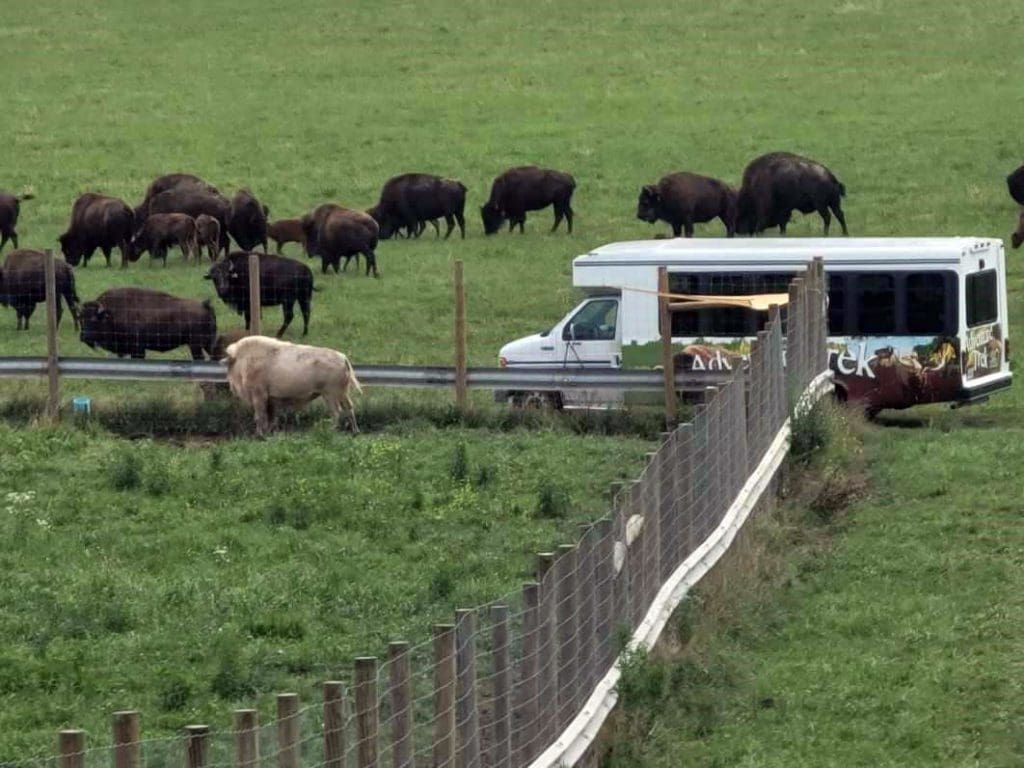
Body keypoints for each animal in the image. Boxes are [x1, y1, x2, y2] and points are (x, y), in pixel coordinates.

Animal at [78, 286, 217, 362]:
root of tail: (204, 306)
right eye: (80, 318)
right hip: (207, 343)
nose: (84, 337)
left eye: (94, 319)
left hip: (196, 345)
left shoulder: (137, 348)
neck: (110, 313)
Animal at [224, 337, 364, 438]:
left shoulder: (259, 396)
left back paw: (331, 430)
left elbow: (259, 416)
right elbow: (269, 417)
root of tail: (343, 358)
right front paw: (268, 432)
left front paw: (259, 435)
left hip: (330, 395)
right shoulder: (269, 400)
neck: (245, 359)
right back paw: (355, 431)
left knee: (336, 412)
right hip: (342, 394)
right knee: (349, 408)